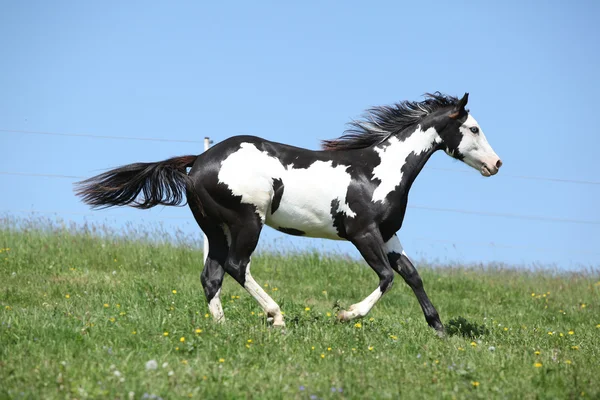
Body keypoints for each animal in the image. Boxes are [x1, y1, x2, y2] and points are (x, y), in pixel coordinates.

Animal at [77, 92, 504, 332]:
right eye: (474, 128)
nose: (496, 164)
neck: (379, 172)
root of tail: (198, 162)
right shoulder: (362, 234)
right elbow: (386, 277)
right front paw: (347, 315)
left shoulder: (388, 234)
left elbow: (412, 275)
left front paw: (439, 328)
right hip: (247, 221)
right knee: (236, 267)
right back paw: (276, 316)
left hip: (216, 229)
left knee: (211, 276)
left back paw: (222, 328)